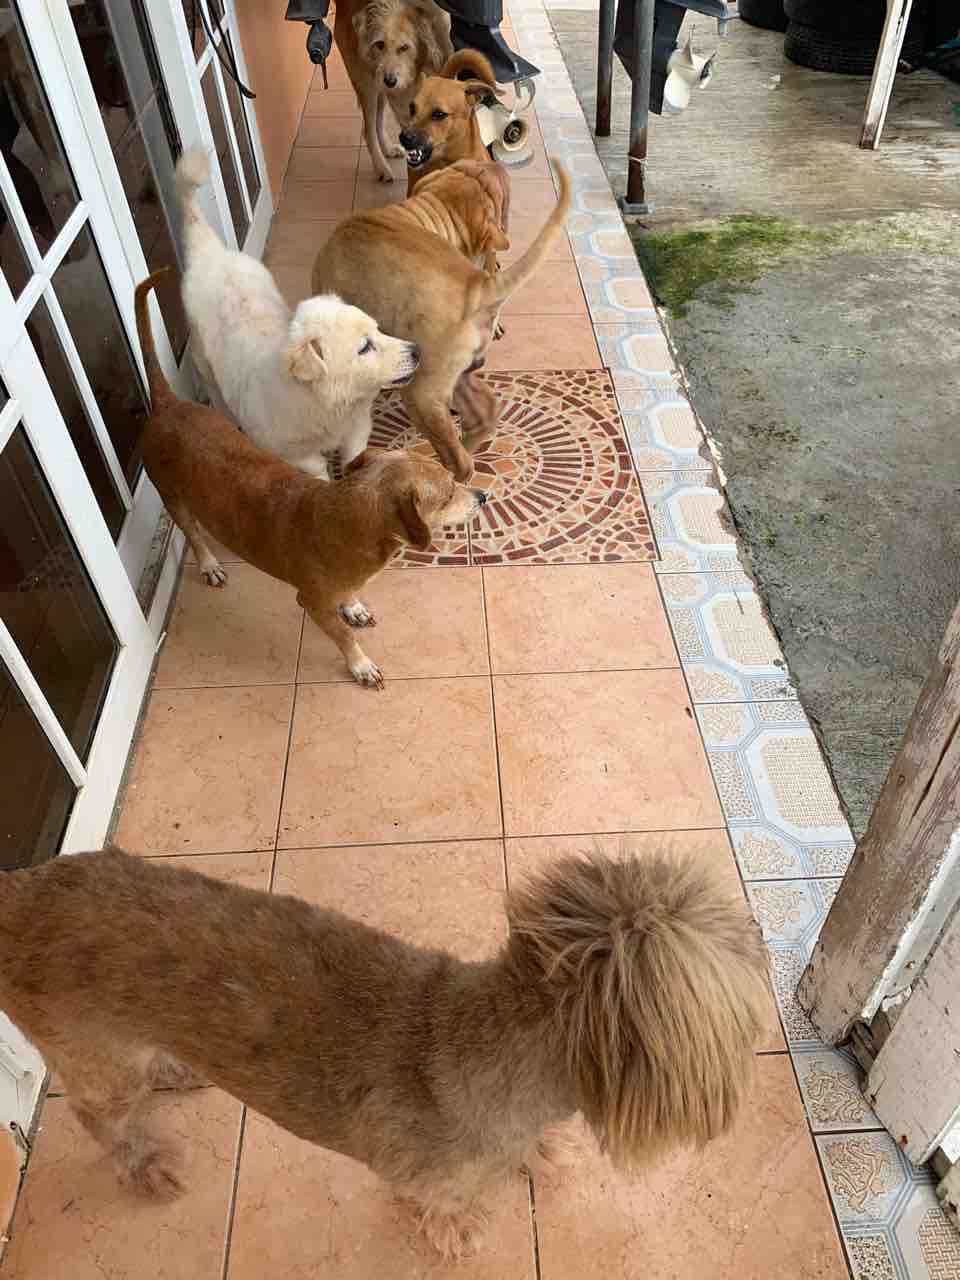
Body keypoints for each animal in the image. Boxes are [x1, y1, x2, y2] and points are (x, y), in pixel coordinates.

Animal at [0, 844, 770, 1257]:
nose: (766, 945)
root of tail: (21, 889)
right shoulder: (421, 1178)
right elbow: (440, 1206)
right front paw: (458, 1230)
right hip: (100, 1064)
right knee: (101, 1119)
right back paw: (142, 1163)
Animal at [135, 268, 484, 688]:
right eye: (446, 495)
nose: (482, 498)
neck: (345, 521)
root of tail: (167, 405)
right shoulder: (312, 603)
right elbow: (345, 637)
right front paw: (360, 665)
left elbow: (349, 604)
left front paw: (353, 606)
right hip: (171, 496)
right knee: (194, 534)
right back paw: (208, 565)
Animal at [175, 148, 411, 479]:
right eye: (365, 347)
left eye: (378, 330)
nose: (417, 351)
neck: (327, 404)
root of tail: (211, 253)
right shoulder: (292, 453)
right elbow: (316, 469)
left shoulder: (357, 427)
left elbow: (356, 456)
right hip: (204, 365)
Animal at [312, 158, 570, 480]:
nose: (495, 164)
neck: (434, 211)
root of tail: (478, 286)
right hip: (453, 374)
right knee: (482, 414)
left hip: (420, 394)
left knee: (459, 459)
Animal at [335, 0, 452, 183]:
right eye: (379, 45)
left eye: (404, 47)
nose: (390, 81)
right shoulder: (403, 100)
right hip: (368, 84)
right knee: (368, 130)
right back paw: (381, 168)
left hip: (379, 88)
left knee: (378, 122)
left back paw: (388, 149)